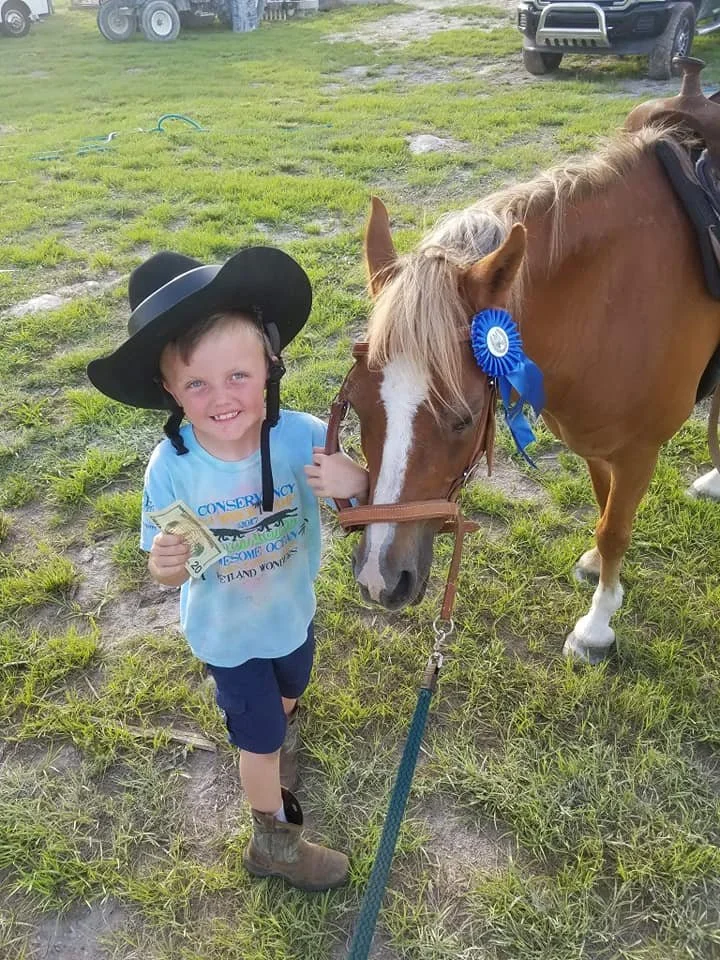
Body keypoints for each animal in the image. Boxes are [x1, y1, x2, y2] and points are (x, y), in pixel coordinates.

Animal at [340, 124, 720, 664]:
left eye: (463, 417)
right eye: (358, 407)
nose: (379, 580)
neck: (616, 296)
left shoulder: (638, 451)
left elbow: (615, 530)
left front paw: (596, 625)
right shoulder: (595, 443)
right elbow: (604, 512)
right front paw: (596, 567)